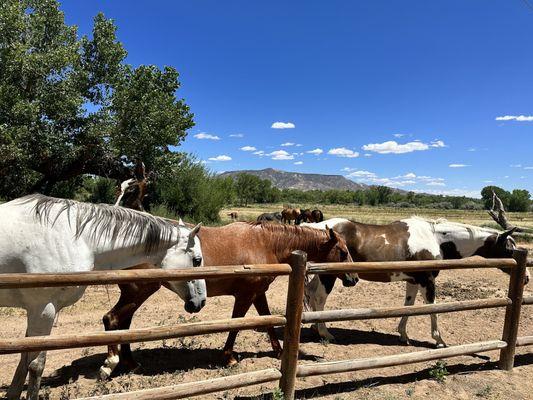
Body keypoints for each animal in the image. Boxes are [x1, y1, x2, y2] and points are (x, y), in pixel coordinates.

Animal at [0, 195, 206, 400]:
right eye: (197, 261)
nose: (201, 301)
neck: (73, 237)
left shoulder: (36, 311)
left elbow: (23, 358)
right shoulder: (43, 310)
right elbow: (36, 365)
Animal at [100, 220, 358, 376]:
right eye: (342, 252)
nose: (353, 278)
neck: (265, 243)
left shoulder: (258, 293)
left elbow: (267, 322)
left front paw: (279, 352)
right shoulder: (245, 295)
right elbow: (236, 325)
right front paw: (229, 357)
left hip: (135, 294)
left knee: (124, 324)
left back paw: (130, 363)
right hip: (139, 291)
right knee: (112, 319)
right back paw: (111, 363)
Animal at [304, 217, 528, 346]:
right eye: (510, 248)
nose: (526, 278)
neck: (436, 238)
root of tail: (314, 227)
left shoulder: (413, 280)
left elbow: (409, 306)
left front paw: (404, 335)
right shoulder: (427, 280)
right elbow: (432, 308)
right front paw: (439, 340)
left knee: (311, 294)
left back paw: (316, 329)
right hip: (329, 275)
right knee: (319, 299)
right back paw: (325, 333)